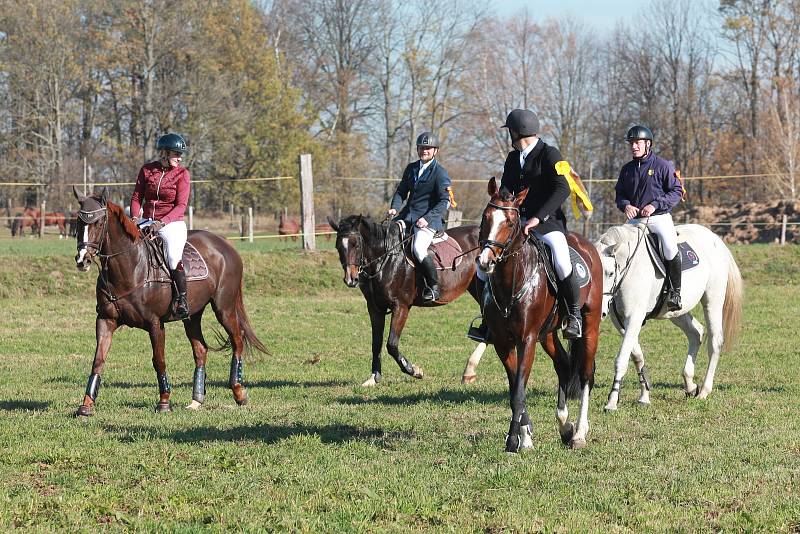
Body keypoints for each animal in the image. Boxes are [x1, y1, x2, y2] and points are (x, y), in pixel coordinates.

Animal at [71, 188, 268, 418]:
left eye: (99, 222)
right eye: (78, 221)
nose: (82, 260)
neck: (130, 268)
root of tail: (224, 243)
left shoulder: (155, 324)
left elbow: (159, 361)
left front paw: (164, 402)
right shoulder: (105, 320)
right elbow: (98, 361)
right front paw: (86, 405)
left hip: (224, 309)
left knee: (237, 341)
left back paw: (238, 392)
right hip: (192, 316)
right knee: (201, 350)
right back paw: (196, 400)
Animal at [324, 216, 488, 388]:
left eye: (355, 244)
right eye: (338, 246)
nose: (351, 279)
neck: (386, 259)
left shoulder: (401, 306)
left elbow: (391, 344)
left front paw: (414, 370)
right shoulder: (375, 308)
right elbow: (376, 343)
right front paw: (374, 377)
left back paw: (469, 371)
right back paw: (469, 371)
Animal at [476, 180, 600, 452]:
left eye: (510, 222)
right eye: (485, 217)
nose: (485, 261)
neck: (511, 280)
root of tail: (587, 244)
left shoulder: (527, 340)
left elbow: (519, 391)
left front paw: (513, 440)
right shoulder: (502, 343)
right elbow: (515, 388)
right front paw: (525, 437)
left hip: (590, 326)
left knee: (585, 375)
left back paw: (579, 433)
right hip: (548, 334)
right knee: (563, 365)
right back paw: (564, 425)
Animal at [592, 224, 744, 412]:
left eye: (611, 273)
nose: (600, 311)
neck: (630, 268)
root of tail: (715, 239)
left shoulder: (634, 318)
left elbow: (621, 359)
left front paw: (612, 401)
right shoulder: (620, 322)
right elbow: (637, 357)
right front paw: (644, 396)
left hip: (712, 300)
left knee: (714, 341)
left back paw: (704, 391)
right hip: (675, 312)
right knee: (696, 333)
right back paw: (690, 385)